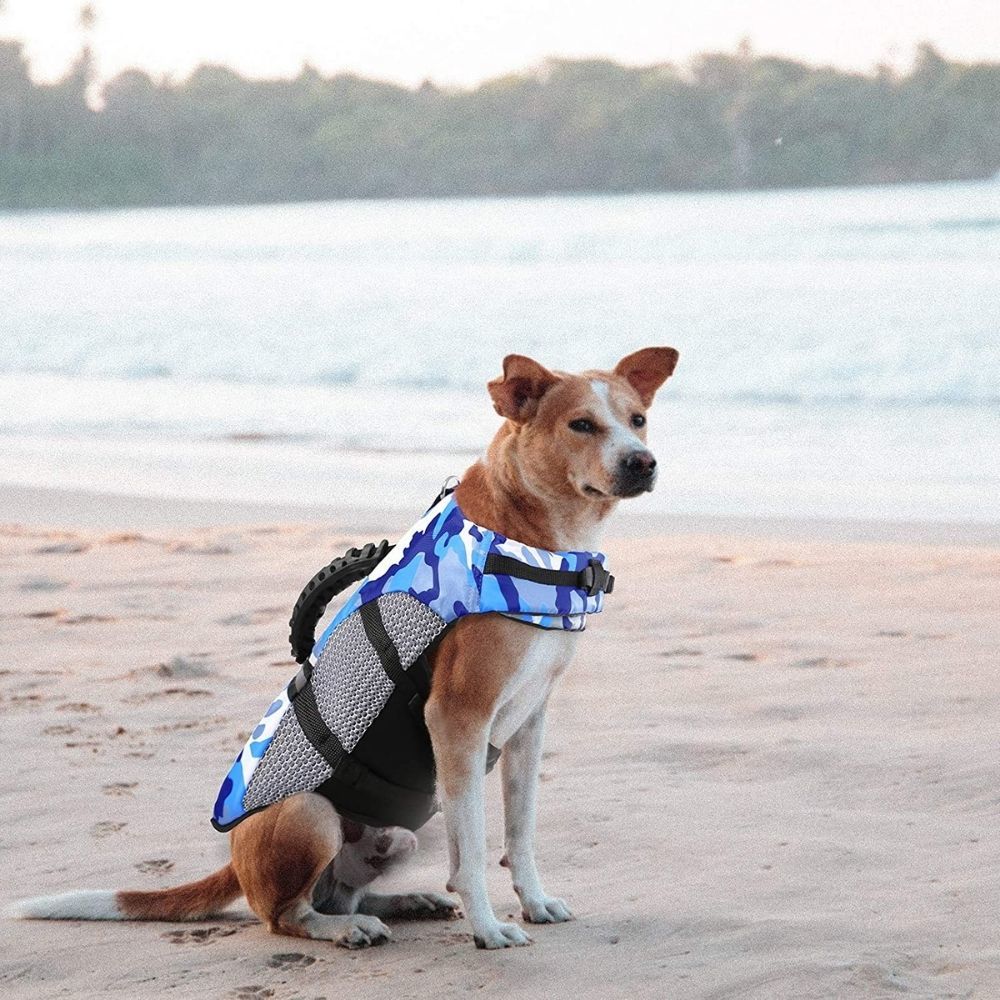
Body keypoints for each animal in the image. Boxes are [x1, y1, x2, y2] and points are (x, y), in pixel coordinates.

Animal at [9, 348, 680, 948]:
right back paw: (343, 929)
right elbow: (474, 847)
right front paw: (489, 930)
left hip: (408, 827)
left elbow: (518, 831)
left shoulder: (527, 724)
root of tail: (236, 862)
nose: (642, 462)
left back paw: (403, 902)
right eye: (581, 425)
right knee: (287, 915)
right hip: (311, 814)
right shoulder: (457, 718)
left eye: (638, 419)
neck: (533, 535)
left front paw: (534, 901)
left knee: (347, 891)